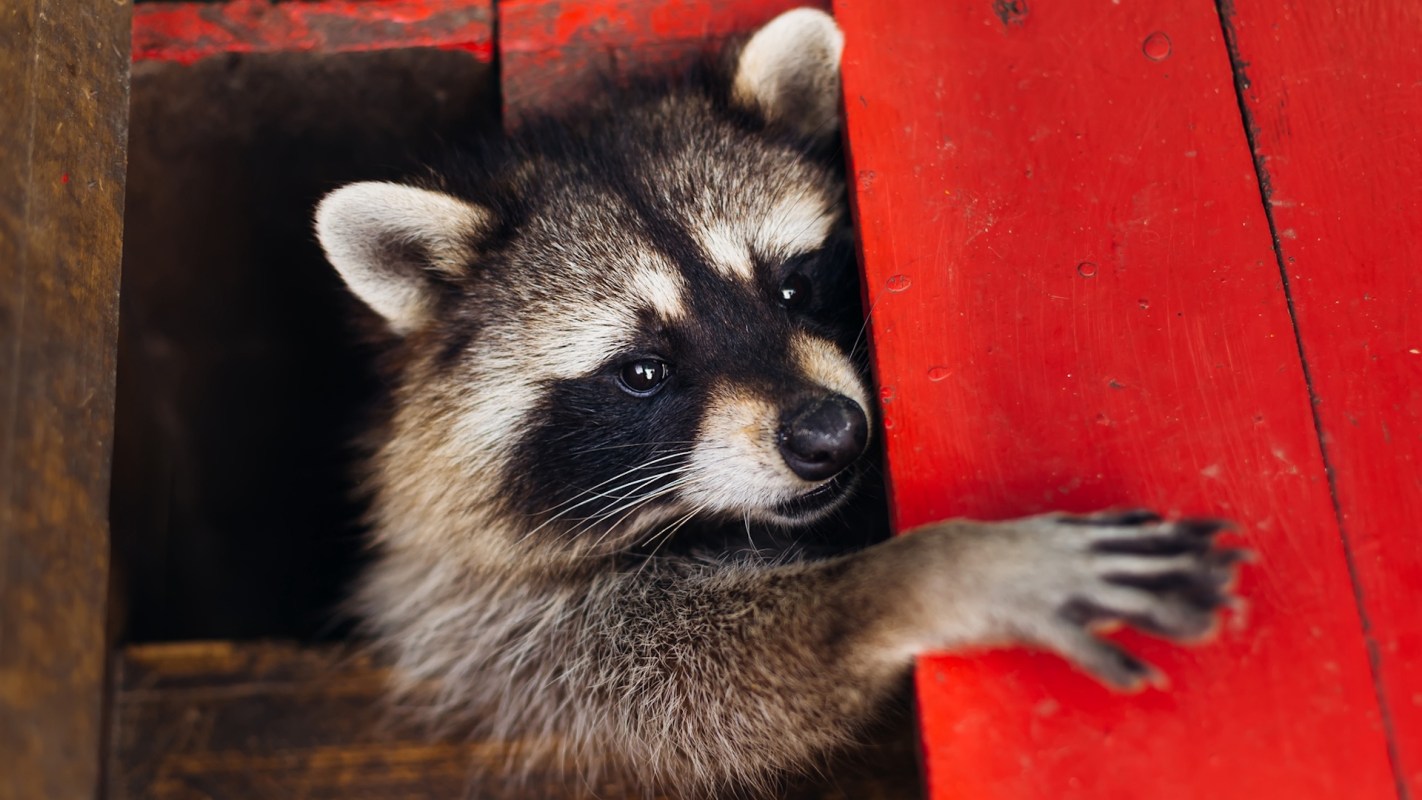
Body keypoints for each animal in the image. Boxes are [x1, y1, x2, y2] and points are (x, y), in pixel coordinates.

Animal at [314, 8, 1242, 797]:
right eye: (642, 372)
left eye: (793, 286)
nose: (831, 434)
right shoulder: (477, 615)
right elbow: (674, 683)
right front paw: (917, 578)